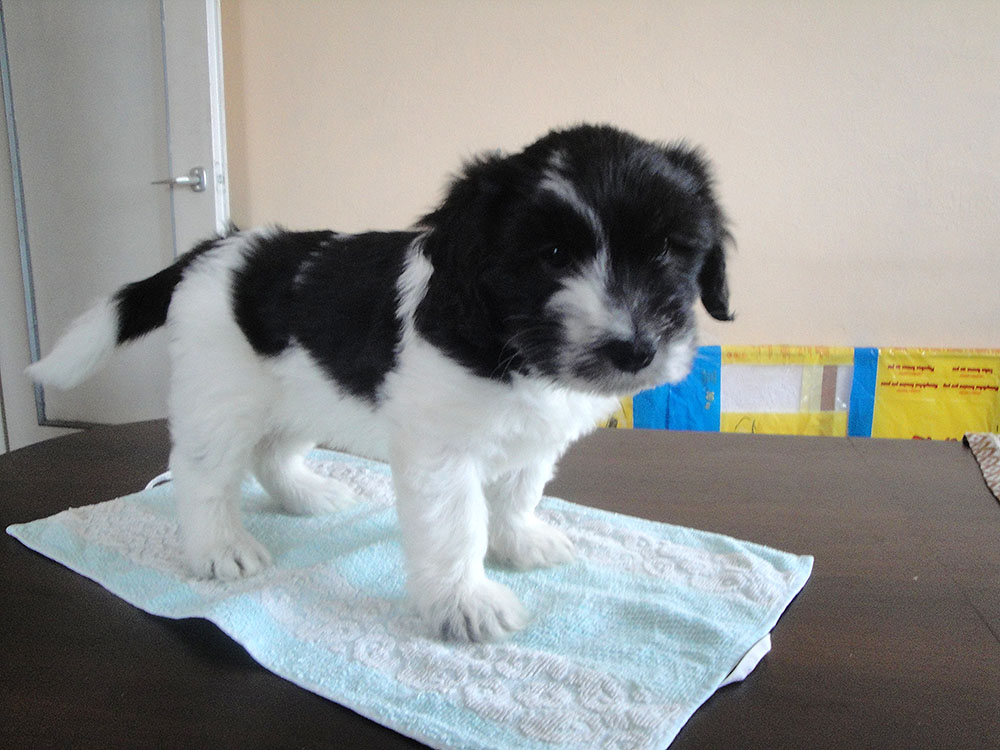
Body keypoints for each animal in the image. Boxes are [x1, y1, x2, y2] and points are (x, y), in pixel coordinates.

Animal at [28, 124, 733, 641]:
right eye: (553, 255)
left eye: (667, 249)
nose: (635, 349)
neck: (504, 340)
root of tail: (215, 250)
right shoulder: (441, 451)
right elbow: (457, 525)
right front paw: (464, 603)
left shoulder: (530, 435)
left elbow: (517, 489)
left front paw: (519, 539)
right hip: (221, 391)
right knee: (203, 470)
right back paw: (219, 548)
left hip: (302, 391)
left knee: (270, 453)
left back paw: (308, 495)